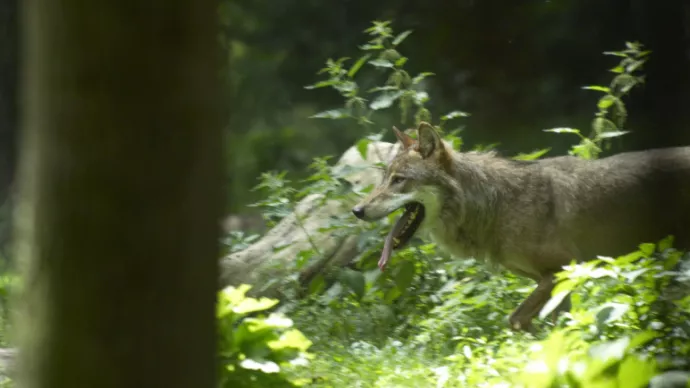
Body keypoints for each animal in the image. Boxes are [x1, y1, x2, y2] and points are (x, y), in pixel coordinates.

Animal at [352, 121, 684, 330]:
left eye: (399, 180)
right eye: (384, 179)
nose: (357, 210)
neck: (498, 204)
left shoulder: (563, 271)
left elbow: (518, 319)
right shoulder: (553, 280)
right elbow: (537, 321)